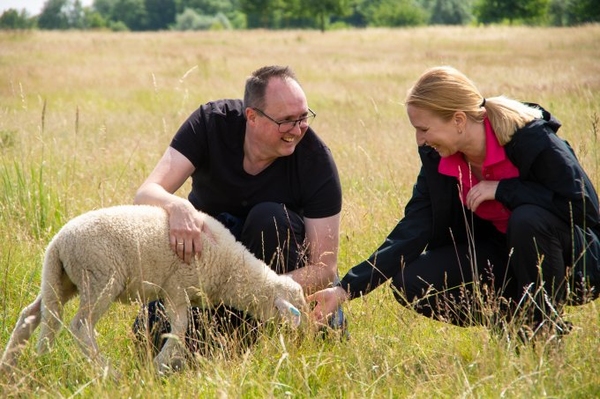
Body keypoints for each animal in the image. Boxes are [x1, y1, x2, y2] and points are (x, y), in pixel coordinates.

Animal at [0, 205, 308, 376]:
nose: (304, 340)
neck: (230, 267)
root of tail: (58, 242)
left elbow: (182, 329)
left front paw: (170, 361)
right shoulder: (176, 288)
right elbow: (180, 328)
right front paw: (161, 363)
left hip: (63, 280)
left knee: (33, 315)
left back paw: (15, 364)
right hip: (99, 278)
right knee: (80, 325)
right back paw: (108, 371)